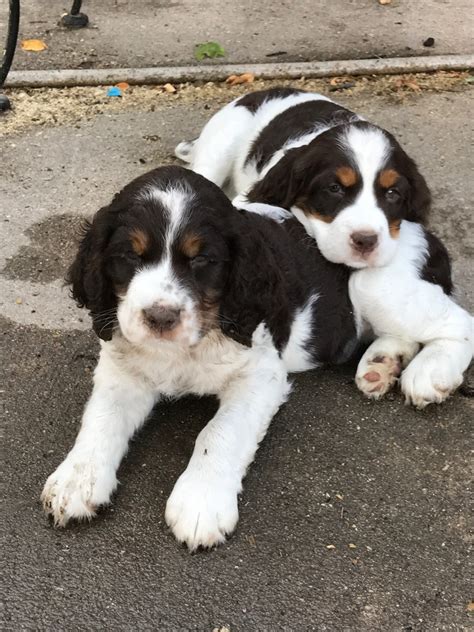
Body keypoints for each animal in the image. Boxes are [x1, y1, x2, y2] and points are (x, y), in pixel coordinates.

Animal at [42, 165, 472, 552]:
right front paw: (76, 479)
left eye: (202, 260)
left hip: (373, 284)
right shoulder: (123, 364)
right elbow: (102, 417)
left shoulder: (260, 376)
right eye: (129, 256)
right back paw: (381, 365)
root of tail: (413, 229)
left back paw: (429, 372)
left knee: (459, 322)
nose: (160, 318)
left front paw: (200, 502)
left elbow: (219, 432)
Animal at [175, 86, 474, 408]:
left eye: (393, 194)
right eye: (334, 189)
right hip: (223, 139)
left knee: (460, 322)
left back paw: (429, 371)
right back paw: (382, 363)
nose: (366, 241)